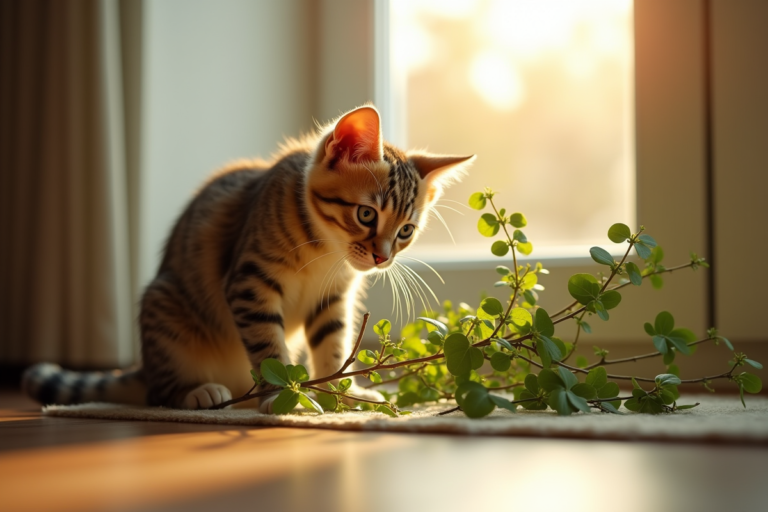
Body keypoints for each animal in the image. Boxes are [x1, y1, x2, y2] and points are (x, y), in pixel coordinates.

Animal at [22, 104, 474, 412]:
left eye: (406, 232)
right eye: (366, 214)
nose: (382, 258)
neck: (325, 252)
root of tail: (144, 364)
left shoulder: (332, 300)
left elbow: (332, 344)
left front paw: (339, 392)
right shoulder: (250, 283)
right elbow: (268, 346)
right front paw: (281, 395)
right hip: (164, 307)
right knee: (158, 392)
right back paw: (199, 392)